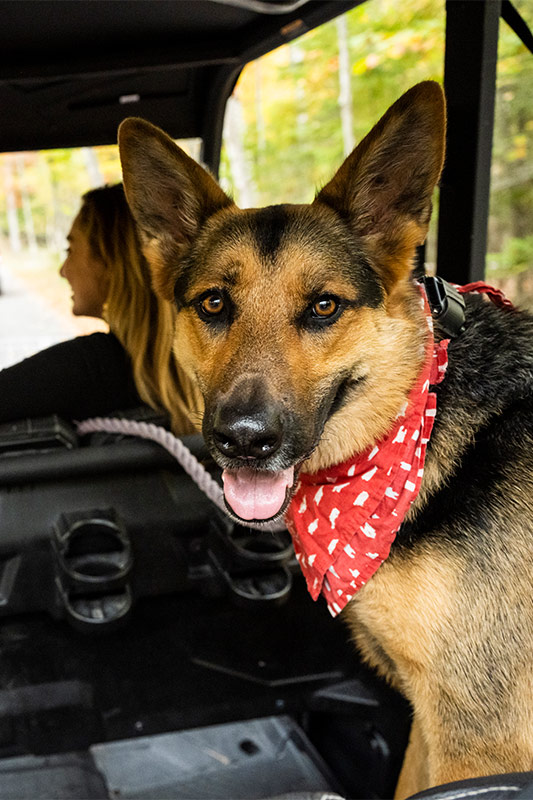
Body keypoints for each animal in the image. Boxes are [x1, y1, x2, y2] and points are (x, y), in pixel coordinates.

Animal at [118, 81, 533, 798]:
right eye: (214, 304)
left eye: (323, 307)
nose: (243, 440)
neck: (416, 422)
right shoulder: (433, 722)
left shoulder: (480, 740)